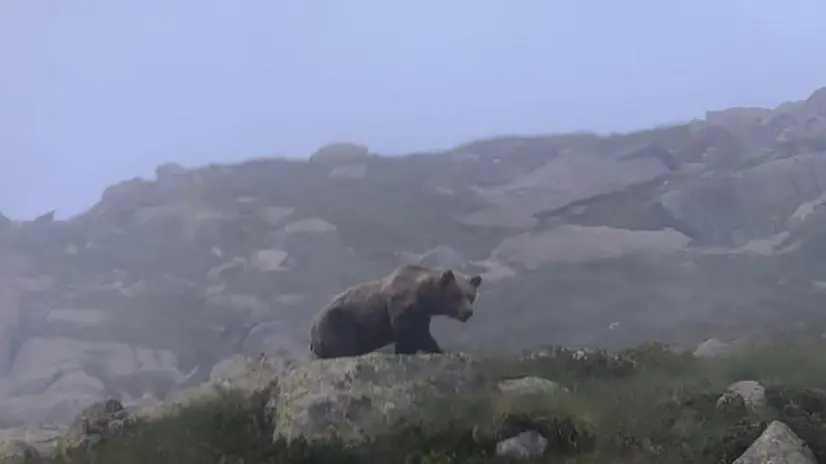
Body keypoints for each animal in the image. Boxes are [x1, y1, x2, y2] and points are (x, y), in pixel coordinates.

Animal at [306, 262, 480, 358]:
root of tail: (313, 327)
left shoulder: (421, 314)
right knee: (344, 348)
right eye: (456, 295)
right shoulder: (401, 307)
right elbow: (410, 334)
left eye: (471, 296)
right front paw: (437, 350)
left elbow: (420, 333)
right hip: (338, 325)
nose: (468, 312)